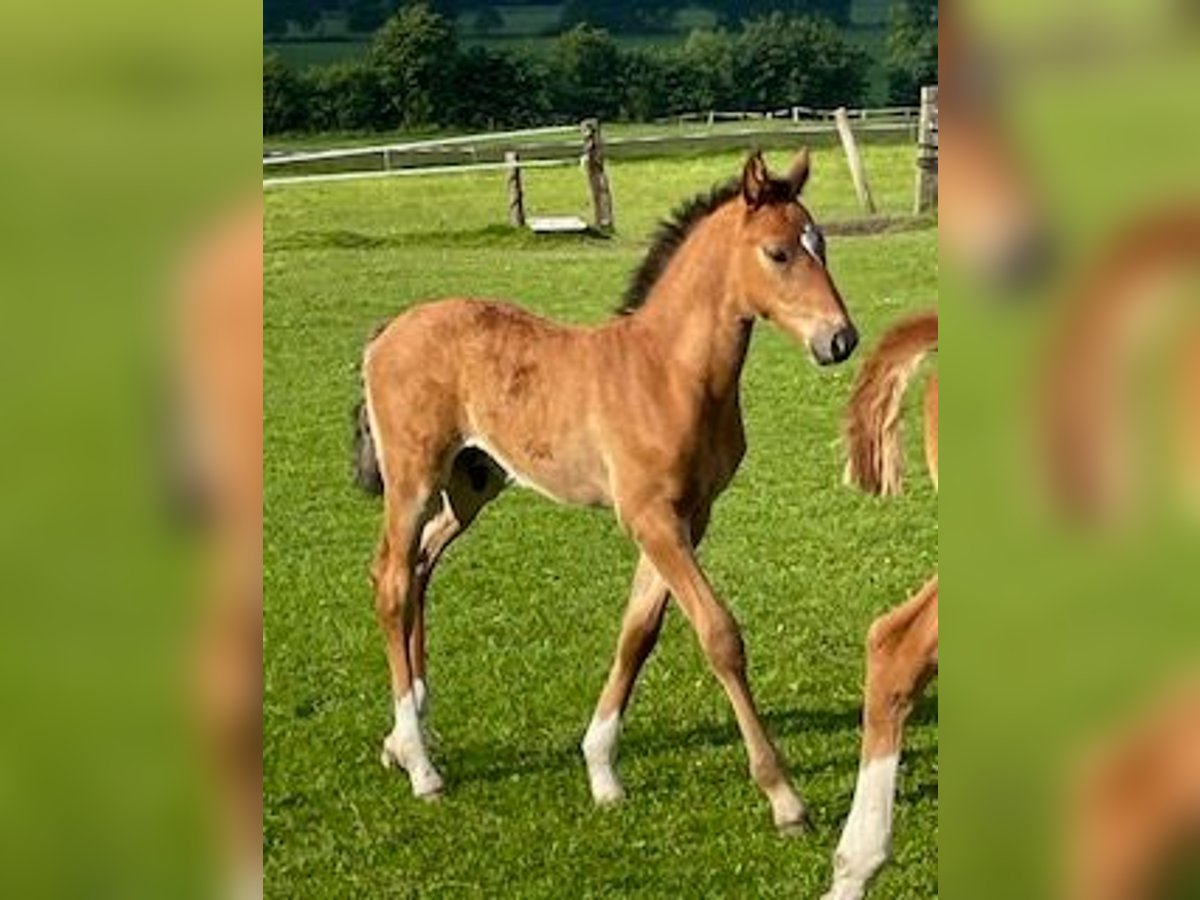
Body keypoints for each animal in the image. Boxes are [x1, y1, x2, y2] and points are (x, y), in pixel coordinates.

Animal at [350, 148, 859, 830]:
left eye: (821, 244)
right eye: (778, 253)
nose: (840, 340)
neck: (668, 372)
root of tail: (385, 332)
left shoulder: (687, 517)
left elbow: (638, 633)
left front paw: (600, 769)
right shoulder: (650, 517)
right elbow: (719, 635)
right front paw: (784, 796)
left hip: (471, 486)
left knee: (421, 569)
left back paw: (405, 740)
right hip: (414, 479)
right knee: (393, 581)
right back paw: (421, 767)